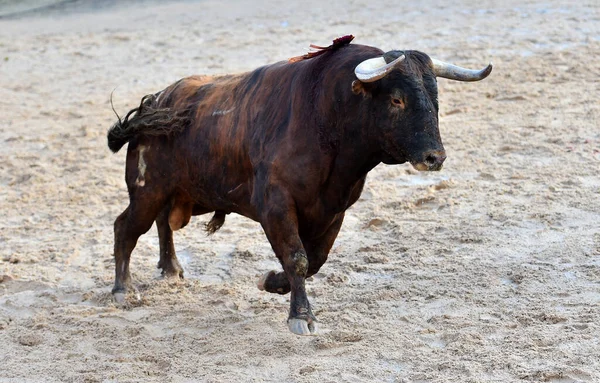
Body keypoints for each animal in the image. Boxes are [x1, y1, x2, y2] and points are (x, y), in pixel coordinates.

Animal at [108, 36, 492, 336]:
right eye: (397, 99)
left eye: (435, 97)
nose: (434, 157)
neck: (326, 119)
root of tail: (157, 103)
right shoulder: (276, 205)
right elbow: (297, 257)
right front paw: (301, 316)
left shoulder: (334, 209)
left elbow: (315, 259)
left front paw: (271, 281)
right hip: (147, 189)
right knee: (126, 227)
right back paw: (123, 289)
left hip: (181, 193)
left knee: (163, 222)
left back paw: (171, 270)